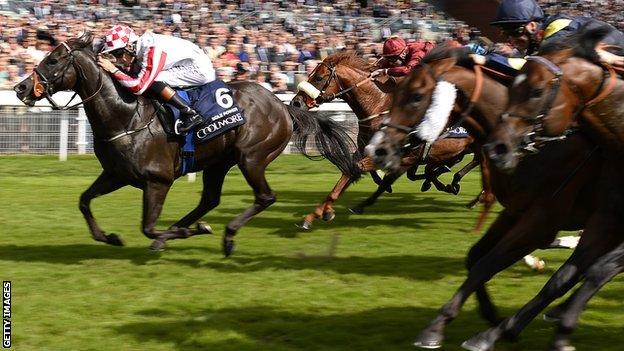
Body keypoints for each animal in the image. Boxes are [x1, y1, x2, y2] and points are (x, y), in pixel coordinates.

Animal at [14, 33, 358, 258]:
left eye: (53, 59)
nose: (20, 88)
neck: (125, 117)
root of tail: (284, 106)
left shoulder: (158, 181)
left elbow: (148, 226)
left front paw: (184, 233)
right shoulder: (116, 174)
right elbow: (84, 201)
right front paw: (108, 237)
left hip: (252, 157)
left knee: (265, 197)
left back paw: (226, 236)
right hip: (219, 161)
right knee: (209, 200)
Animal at [292, 51, 478, 228]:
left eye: (318, 77)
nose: (296, 102)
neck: (379, 108)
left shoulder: (406, 156)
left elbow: (366, 172)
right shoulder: (367, 152)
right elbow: (346, 177)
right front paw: (314, 215)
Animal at [366, 46, 604, 350]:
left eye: (417, 96)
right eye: (395, 92)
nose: (378, 148)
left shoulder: (543, 219)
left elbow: (489, 262)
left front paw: (440, 328)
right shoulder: (514, 211)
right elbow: (476, 258)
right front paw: (491, 315)